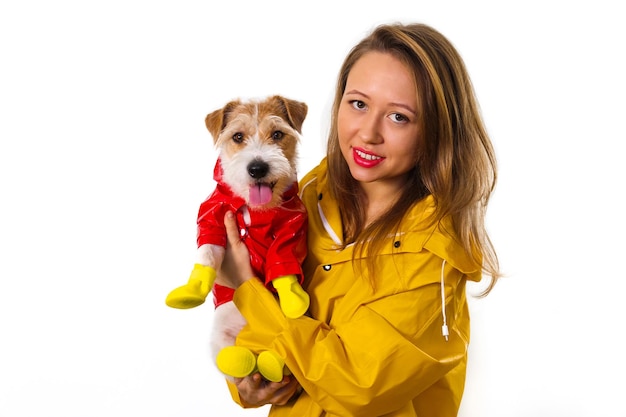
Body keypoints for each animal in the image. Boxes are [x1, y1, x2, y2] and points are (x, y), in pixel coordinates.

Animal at [165, 96, 308, 382]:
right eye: (238, 136)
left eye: (277, 134)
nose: (257, 168)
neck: (256, 207)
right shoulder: (211, 215)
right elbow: (208, 251)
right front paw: (192, 289)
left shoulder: (292, 227)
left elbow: (283, 262)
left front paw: (292, 299)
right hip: (221, 334)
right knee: (233, 362)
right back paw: (241, 360)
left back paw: (271, 361)